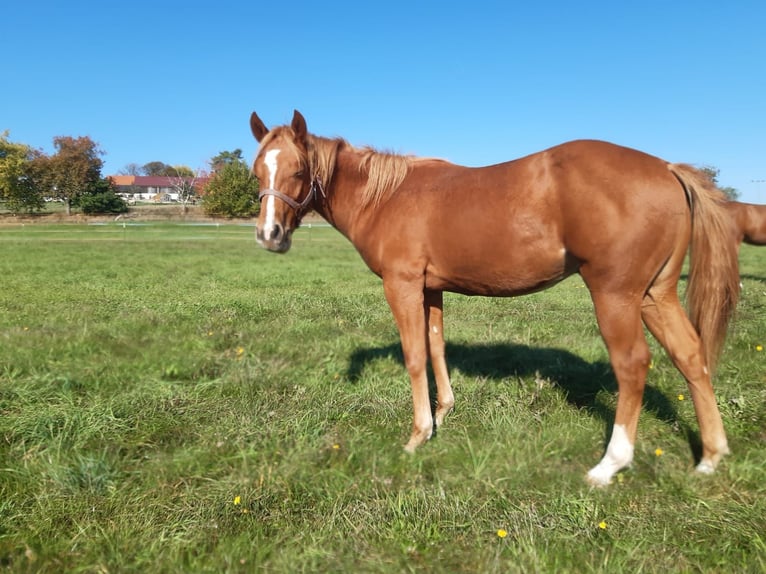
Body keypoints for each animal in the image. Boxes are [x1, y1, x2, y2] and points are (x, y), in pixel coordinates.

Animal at [250, 110, 739, 487]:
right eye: (258, 171)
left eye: (298, 170)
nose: (269, 236)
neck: (386, 196)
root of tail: (667, 167)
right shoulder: (431, 288)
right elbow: (436, 347)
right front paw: (443, 414)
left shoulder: (402, 284)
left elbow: (414, 355)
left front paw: (417, 435)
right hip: (656, 295)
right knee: (690, 355)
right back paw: (710, 457)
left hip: (615, 295)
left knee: (633, 365)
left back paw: (609, 465)